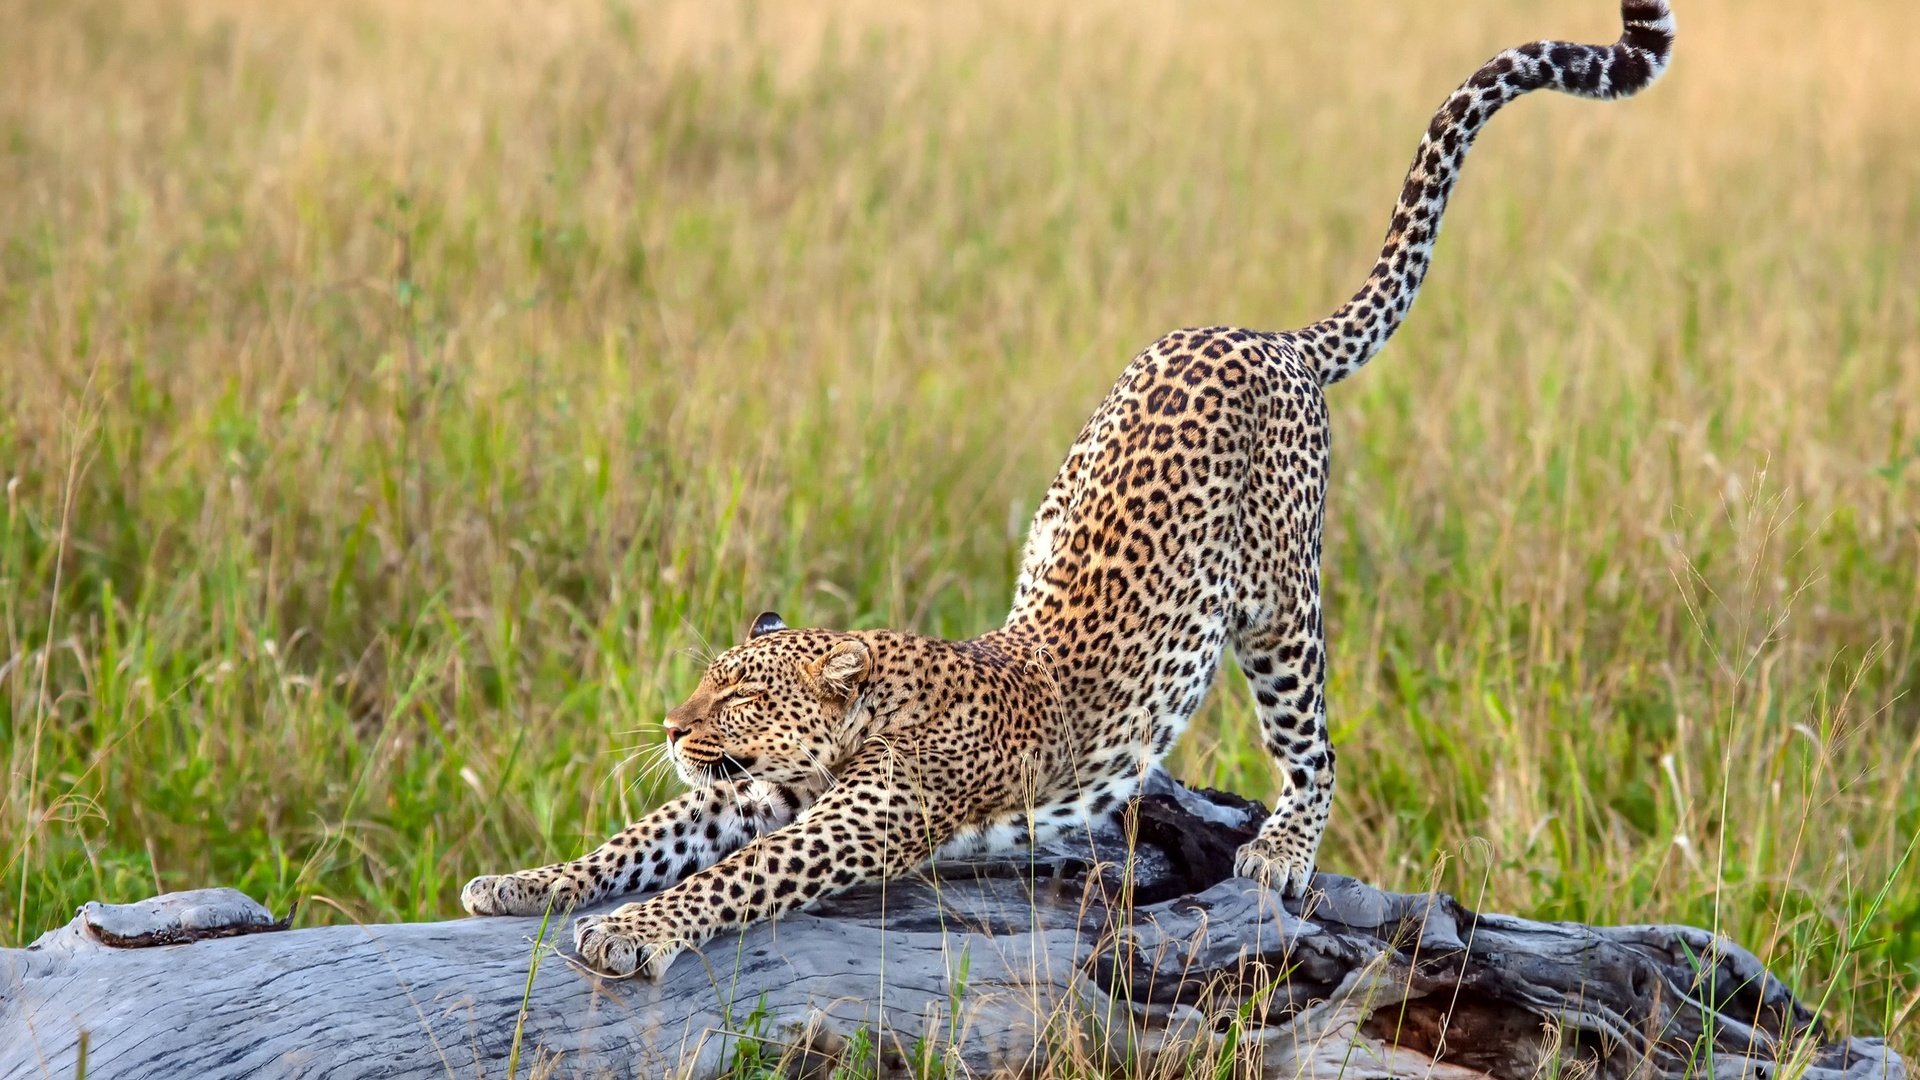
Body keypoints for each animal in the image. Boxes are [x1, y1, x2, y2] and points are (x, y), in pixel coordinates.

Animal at [460, 0, 1666, 976]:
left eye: (741, 697)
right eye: (708, 683)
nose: (671, 723)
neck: (862, 715)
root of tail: (1266, 334)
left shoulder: (856, 819)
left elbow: (728, 879)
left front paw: (634, 931)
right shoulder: (754, 793)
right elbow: (640, 836)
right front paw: (528, 881)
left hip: (1280, 611)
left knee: (1316, 746)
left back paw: (1280, 852)